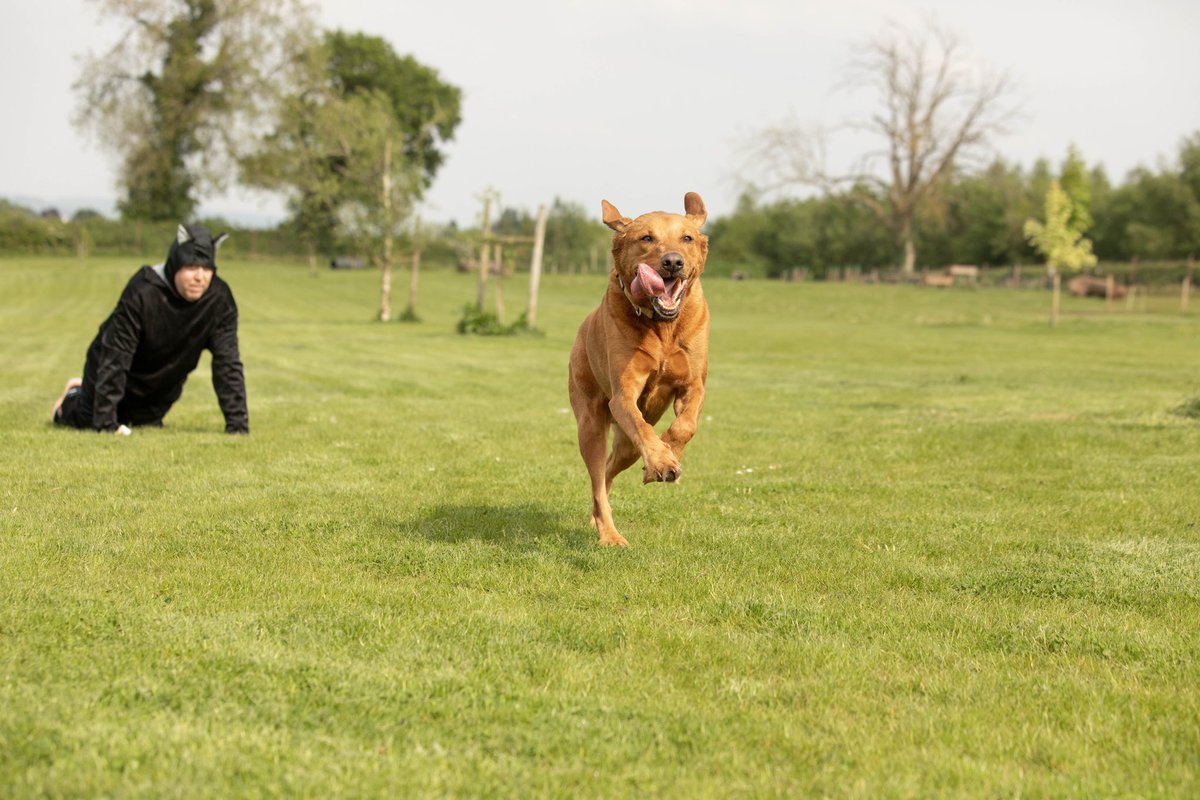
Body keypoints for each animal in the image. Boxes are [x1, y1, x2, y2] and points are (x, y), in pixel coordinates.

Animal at [566, 191, 705, 544]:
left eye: (687, 238)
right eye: (647, 238)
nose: (672, 262)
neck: (662, 326)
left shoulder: (694, 383)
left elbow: (685, 425)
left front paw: (668, 453)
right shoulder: (623, 395)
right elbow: (642, 427)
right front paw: (662, 460)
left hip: (626, 447)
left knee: (609, 470)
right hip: (590, 421)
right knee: (597, 477)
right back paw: (609, 535)